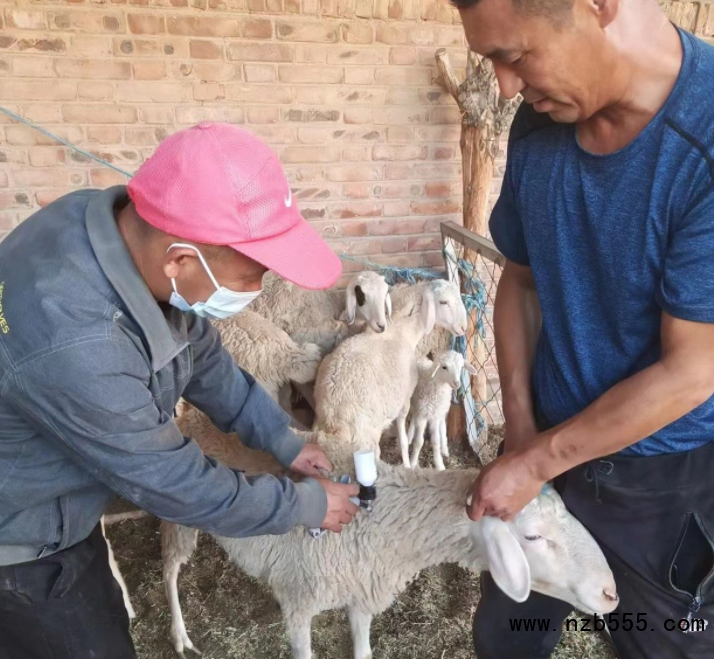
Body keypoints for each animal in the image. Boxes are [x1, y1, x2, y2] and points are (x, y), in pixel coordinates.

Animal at [161, 456, 619, 659]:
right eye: (533, 536)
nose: (611, 594)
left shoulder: (361, 592)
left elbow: (363, 652)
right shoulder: (298, 600)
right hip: (176, 514)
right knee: (169, 571)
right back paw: (179, 635)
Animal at [313, 287, 436, 468]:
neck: (402, 332)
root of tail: (333, 421)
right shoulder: (405, 398)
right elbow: (403, 433)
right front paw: (407, 462)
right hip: (365, 437)